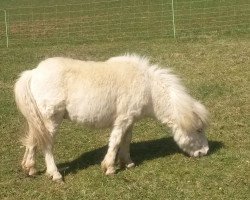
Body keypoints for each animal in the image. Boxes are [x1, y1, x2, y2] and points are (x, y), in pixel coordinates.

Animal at [14, 54, 209, 181]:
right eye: (199, 130)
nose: (205, 152)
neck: (148, 88)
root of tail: (33, 72)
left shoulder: (130, 121)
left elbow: (126, 141)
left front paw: (127, 162)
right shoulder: (122, 120)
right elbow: (115, 141)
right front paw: (109, 167)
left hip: (37, 120)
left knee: (32, 141)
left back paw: (30, 169)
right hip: (51, 120)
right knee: (47, 145)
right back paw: (55, 174)